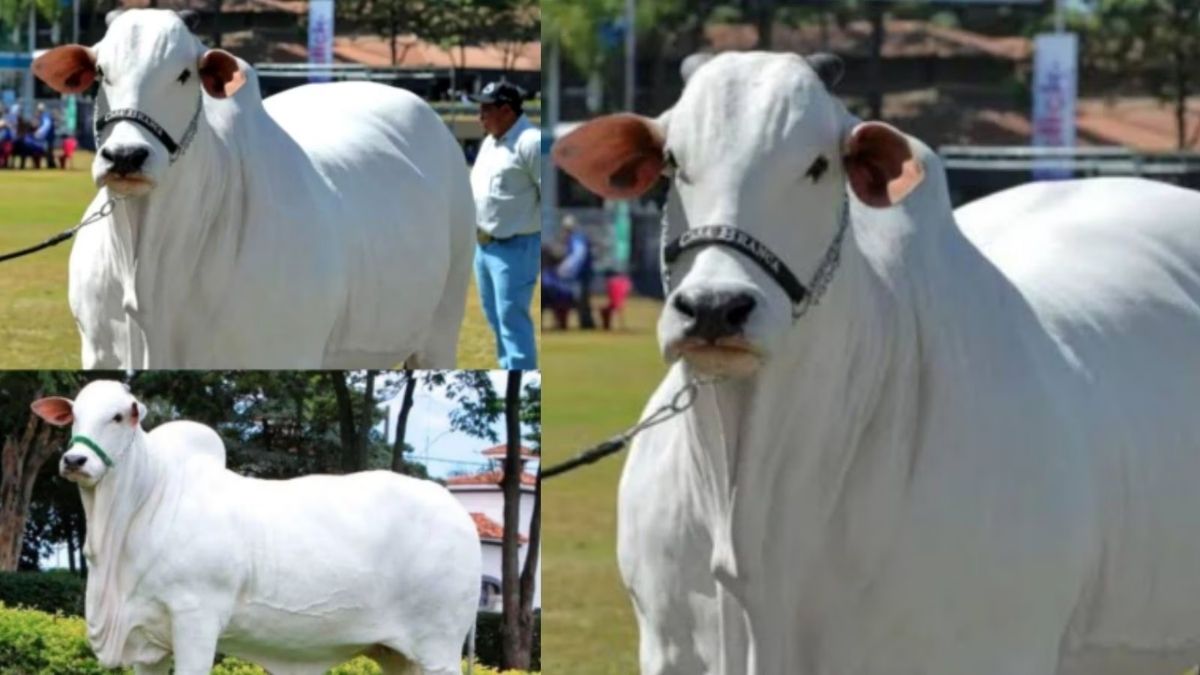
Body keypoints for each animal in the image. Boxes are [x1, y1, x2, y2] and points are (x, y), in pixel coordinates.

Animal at [31, 380, 481, 675]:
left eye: (119, 416)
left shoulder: (196, 619)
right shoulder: (147, 642)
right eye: (74, 415)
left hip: (439, 649)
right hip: (399, 656)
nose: (74, 460)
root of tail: (458, 513)